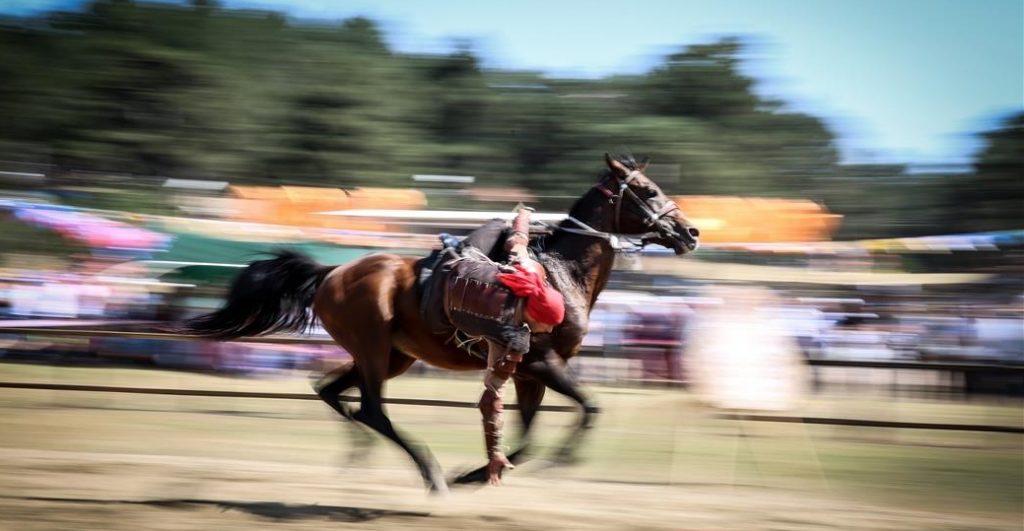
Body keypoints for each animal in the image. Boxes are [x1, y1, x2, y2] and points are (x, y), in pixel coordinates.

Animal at [184, 154, 700, 495]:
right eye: (648, 191)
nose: (691, 232)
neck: (558, 271)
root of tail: (332, 273)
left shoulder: (529, 370)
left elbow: (527, 435)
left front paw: (481, 472)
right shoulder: (541, 360)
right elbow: (588, 408)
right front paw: (549, 462)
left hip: (391, 356)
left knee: (331, 392)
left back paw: (361, 455)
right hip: (373, 351)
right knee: (372, 410)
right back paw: (429, 472)